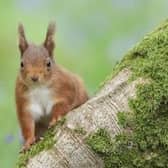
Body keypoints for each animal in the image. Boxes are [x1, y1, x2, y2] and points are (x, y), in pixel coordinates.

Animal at [15, 22, 88, 151]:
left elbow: (62, 104)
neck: (38, 87)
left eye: (48, 63)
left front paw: (56, 118)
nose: (34, 77)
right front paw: (28, 141)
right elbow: (27, 122)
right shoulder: (24, 101)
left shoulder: (65, 88)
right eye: (21, 64)